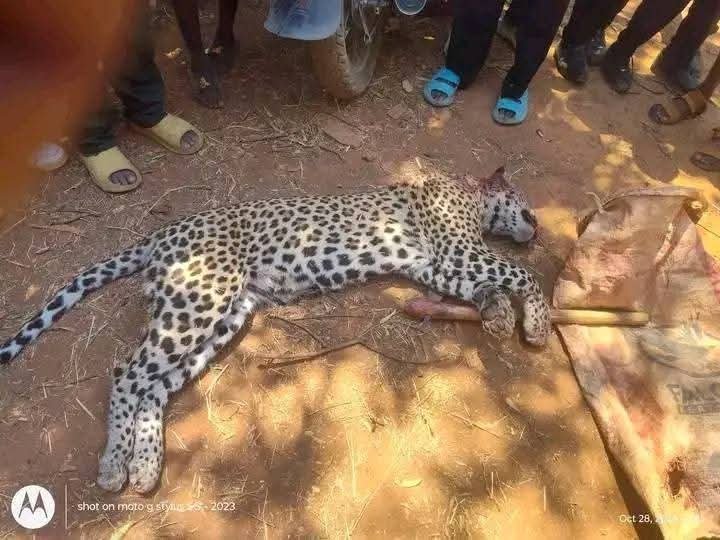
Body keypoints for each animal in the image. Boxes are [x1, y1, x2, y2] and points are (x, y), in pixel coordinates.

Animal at [0, 165, 549, 494]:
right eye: (528, 203)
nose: (540, 226)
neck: (473, 198)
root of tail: (161, 232)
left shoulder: (436, 266)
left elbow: (484, 284)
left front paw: (499, 313)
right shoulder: (456, 251)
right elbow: (521, 273)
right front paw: (537, 324)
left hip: (223, 316)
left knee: (154, 385)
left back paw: (146, 465)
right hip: (199, 302)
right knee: (127, 374)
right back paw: (115, 464)